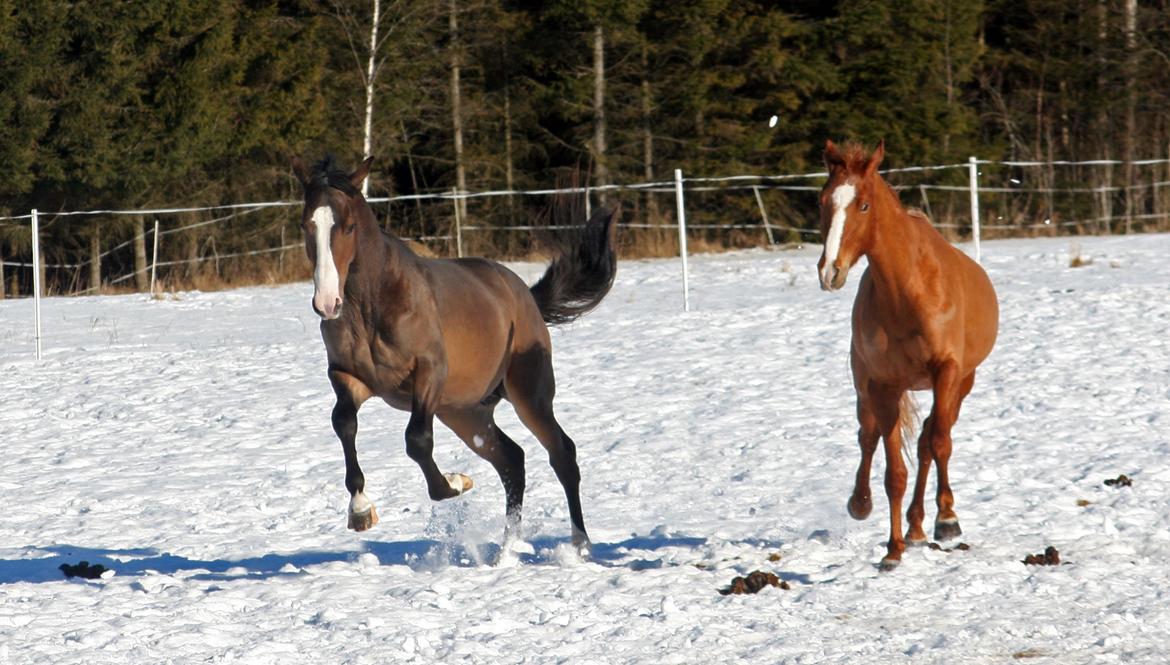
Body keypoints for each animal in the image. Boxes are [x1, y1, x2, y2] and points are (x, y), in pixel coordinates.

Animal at [292, 156, 617, 550]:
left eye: (349, 226)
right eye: (306, 224)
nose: (327, 303)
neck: (372, 305)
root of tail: (525, 294)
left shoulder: (429, 373)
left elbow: (417, 442)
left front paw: (455, 483)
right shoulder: (346, 375)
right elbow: (344, 423)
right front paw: (360, 510)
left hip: (529, 395)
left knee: (561, 454)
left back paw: (580, 544)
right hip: (465, 412)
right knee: (512, 461)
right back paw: (508, 551)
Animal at [819, 140, 1001, 571]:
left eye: (864, 205)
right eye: (823, 201)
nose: (829, 271)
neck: (908, 291)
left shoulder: (947, 372)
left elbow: (938, 443)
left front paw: (947, 520)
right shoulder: (884, 386)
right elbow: (894, 473)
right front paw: (893, 549)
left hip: (960, 384)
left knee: (929, 441)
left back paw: (923, 525)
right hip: (866, 387)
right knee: (869, 438)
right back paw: (866, 506)